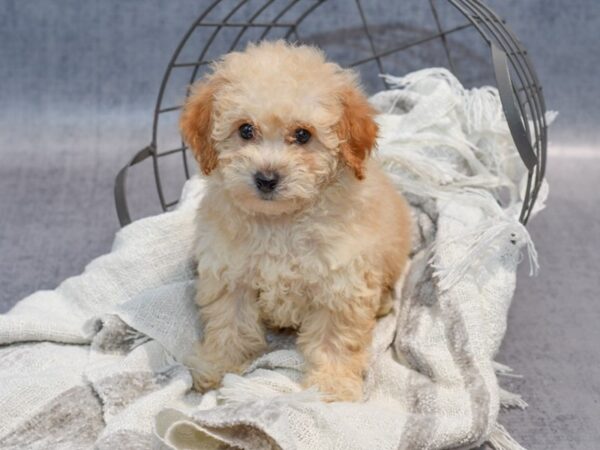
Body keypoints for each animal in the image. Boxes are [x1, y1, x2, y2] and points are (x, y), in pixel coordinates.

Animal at [180, 40, 410, 402]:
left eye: (303, 135)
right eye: (245, 130)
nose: (266, 178)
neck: (281, 223)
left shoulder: (340, 285)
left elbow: (335, 340)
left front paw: (332, 386)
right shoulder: (231, 275)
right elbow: (229, 324)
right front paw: (218, 365)